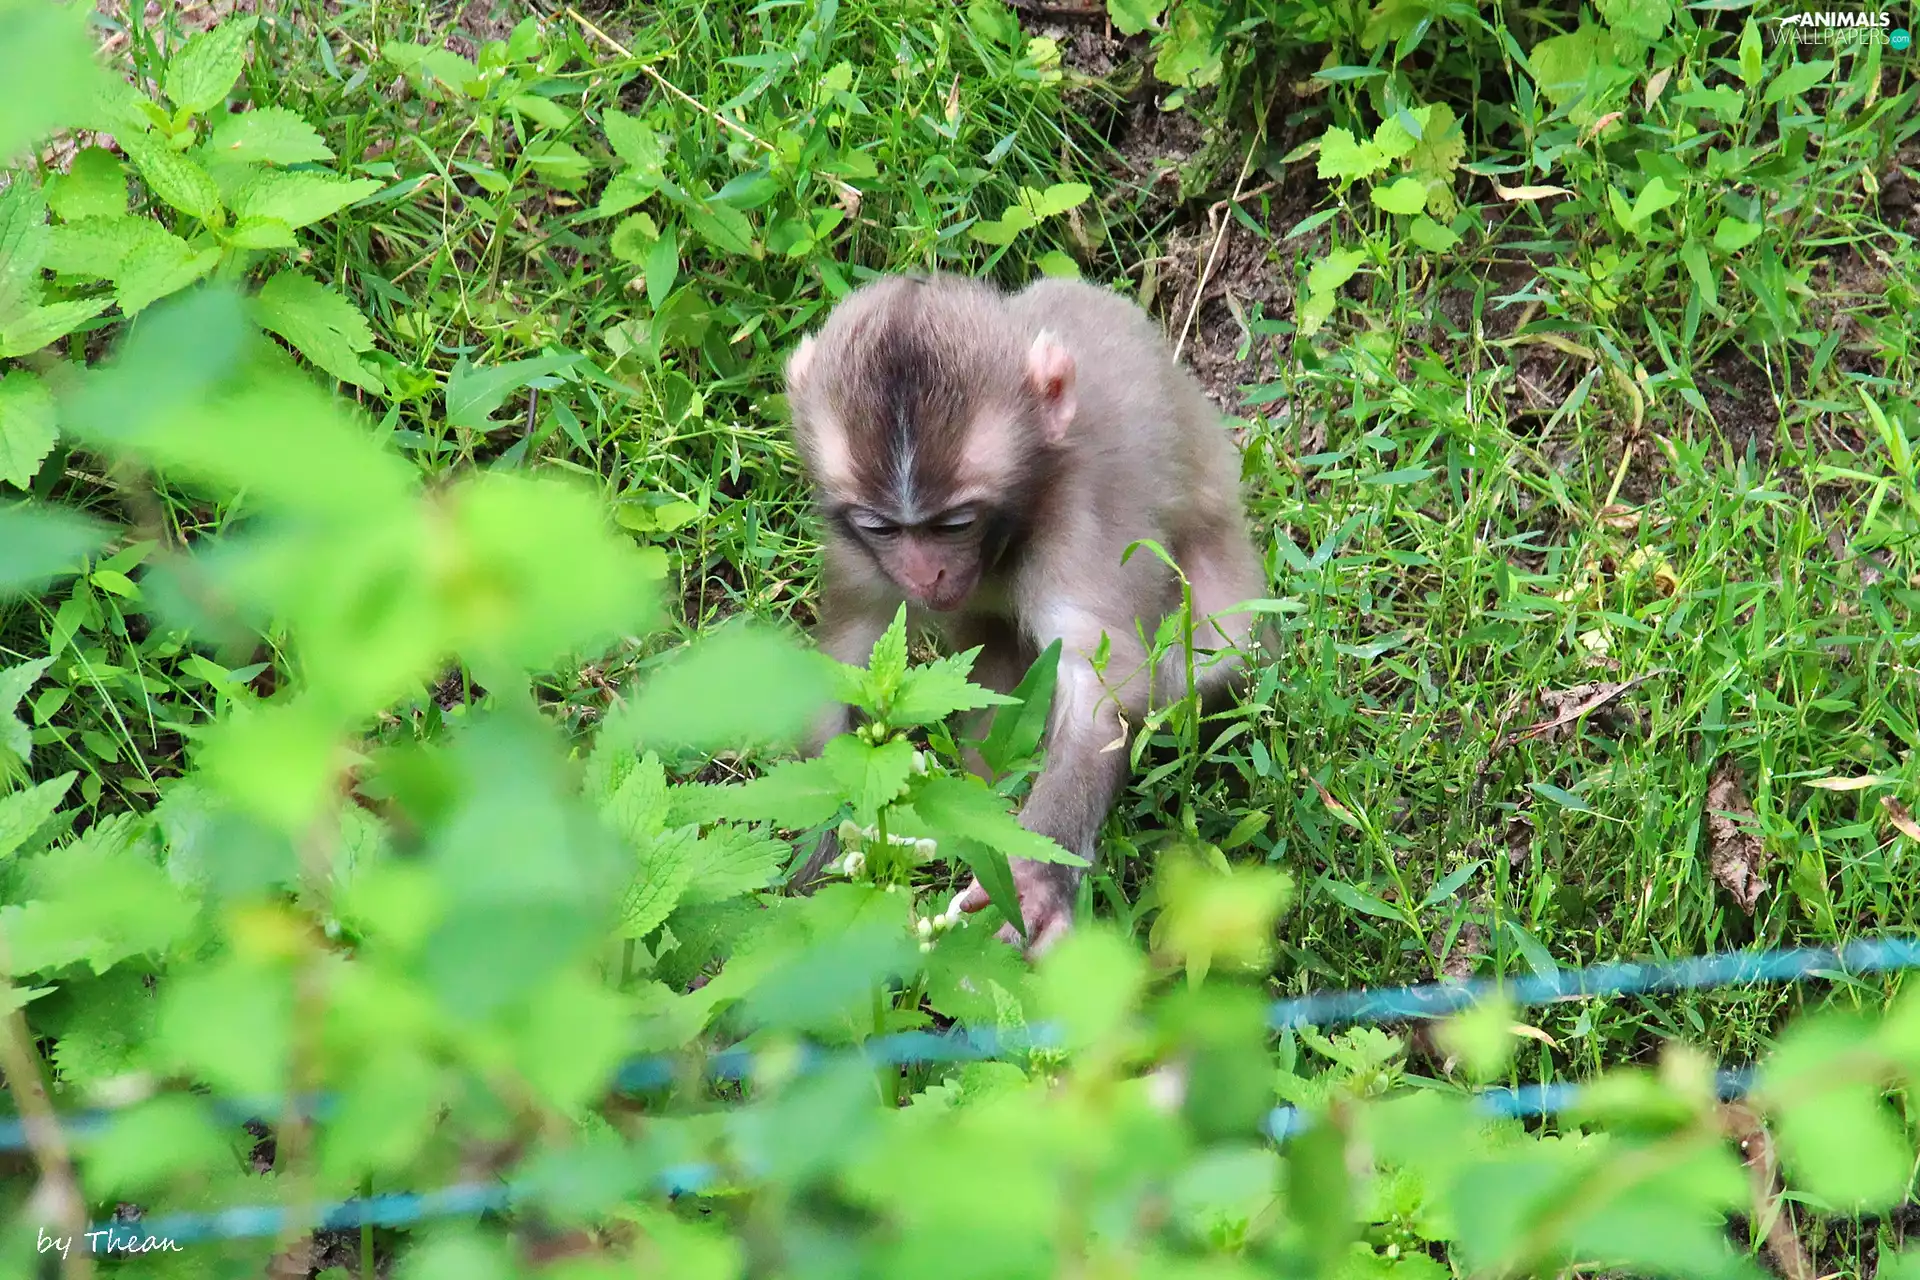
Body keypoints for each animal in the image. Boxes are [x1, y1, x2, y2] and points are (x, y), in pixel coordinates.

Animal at [783, 272, 1266, 954]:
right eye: (880, 526)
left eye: (955, 522)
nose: (924, 575)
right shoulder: (857, 555)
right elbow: (842, 669)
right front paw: (817, 865)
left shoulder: (1079, 519)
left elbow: (1103, 694)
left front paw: (1036, 883)